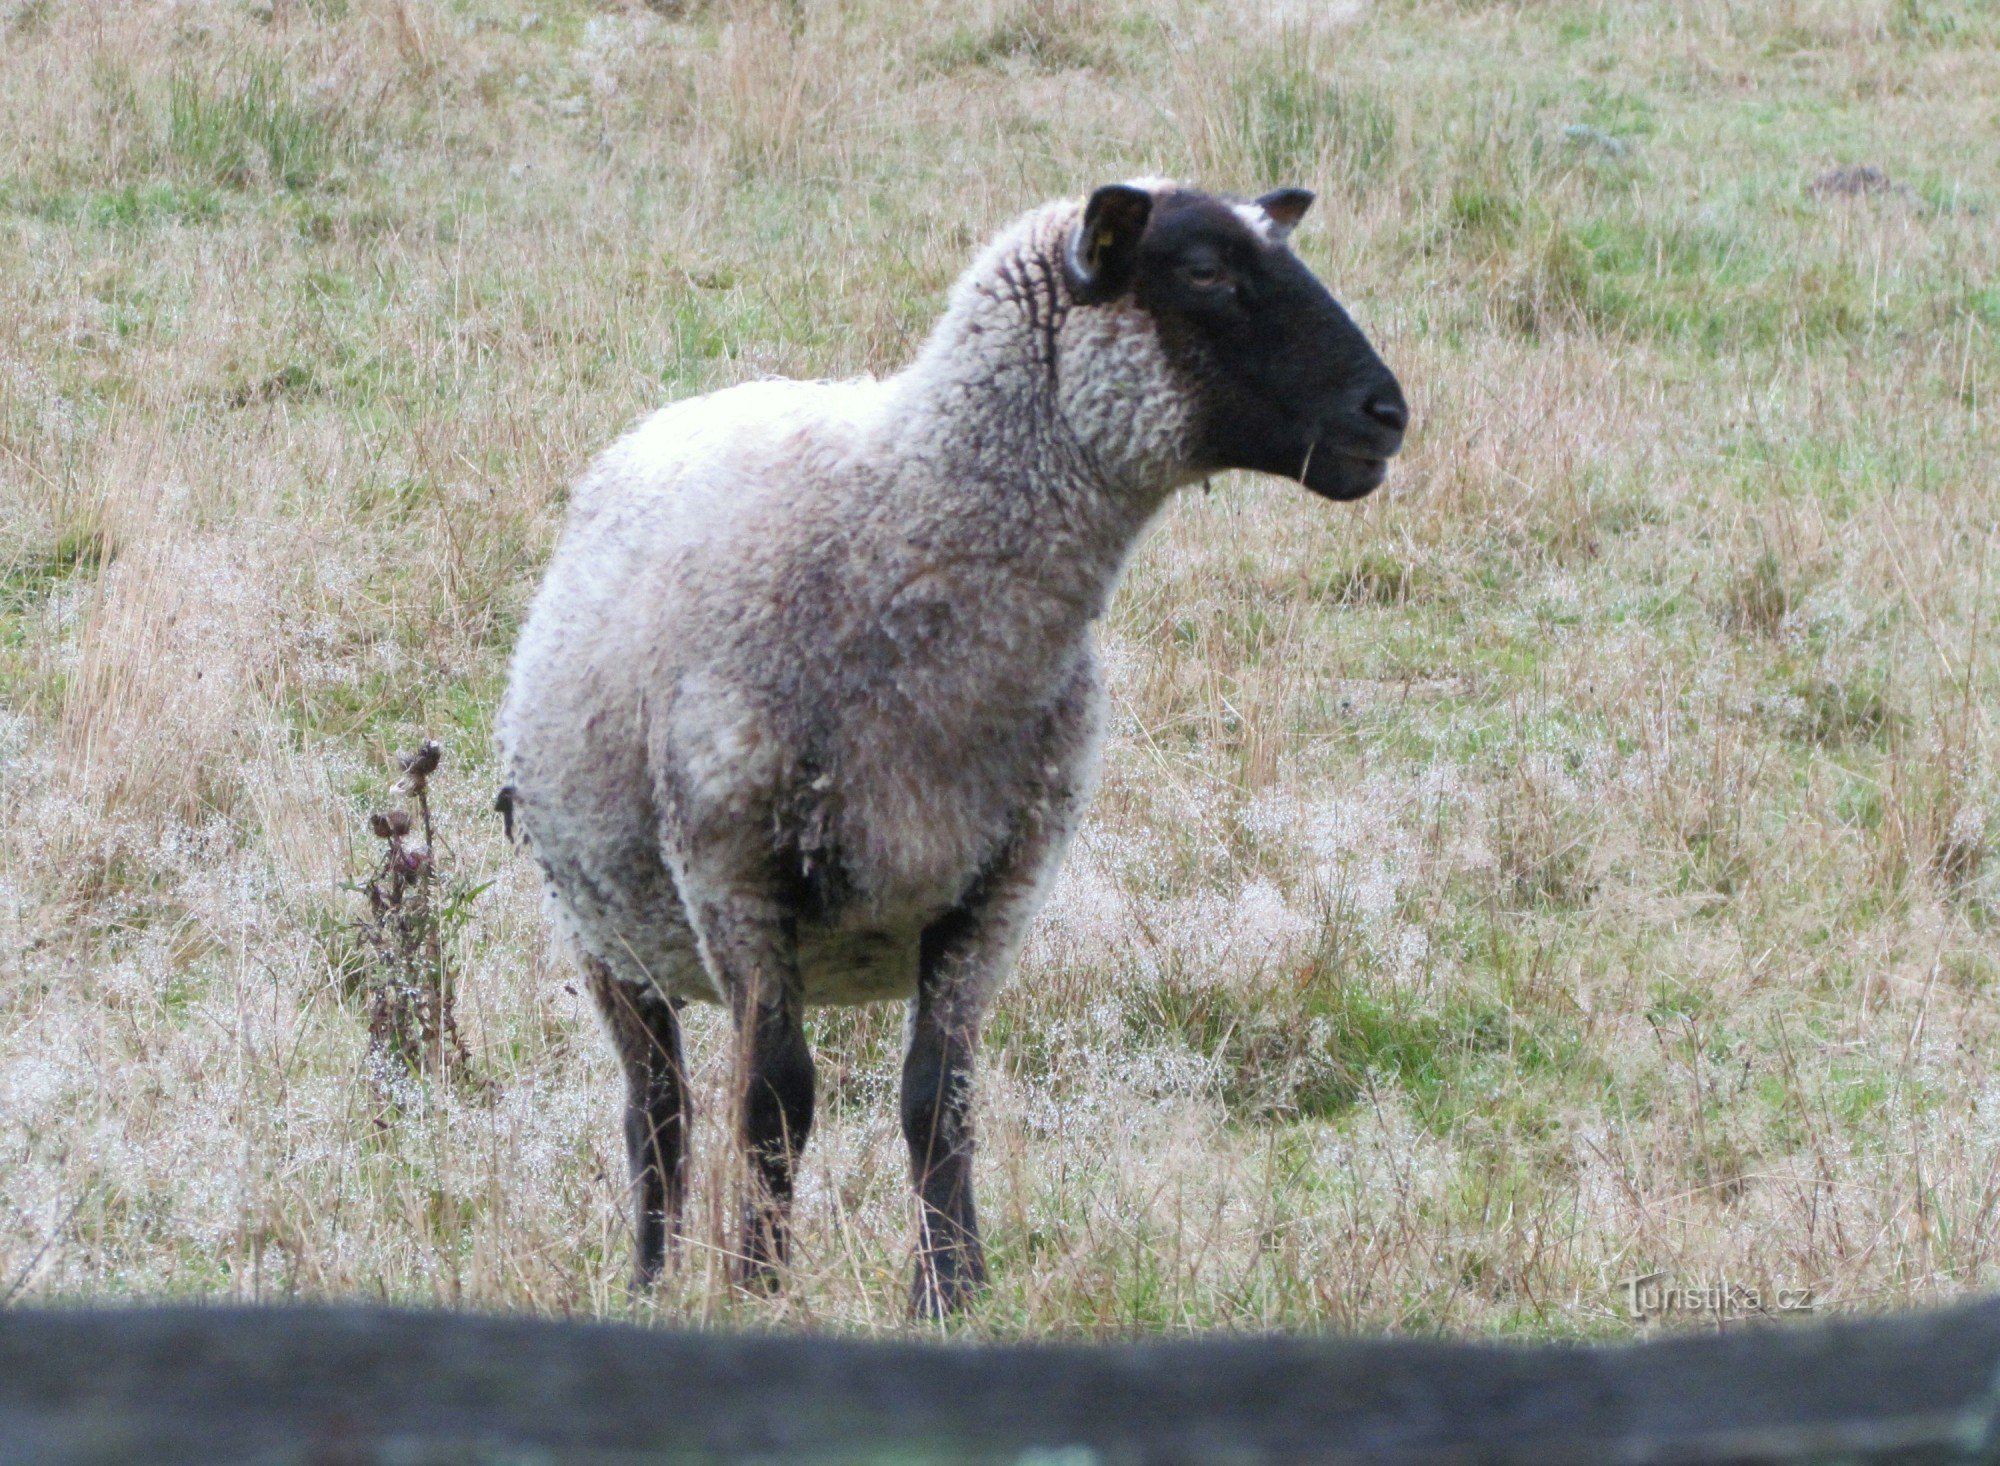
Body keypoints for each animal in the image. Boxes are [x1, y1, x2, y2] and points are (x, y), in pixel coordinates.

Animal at [498, 177, 1408, 1312]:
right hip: (604, 927)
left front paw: (952, 1291)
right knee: (657, 1113)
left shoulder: (1000, 884)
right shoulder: (735, 874)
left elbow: (940, 1097)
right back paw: (654, 1281)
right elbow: (773, 1101)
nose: (1386, 414)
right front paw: (761, 1283)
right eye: (1202, 270)